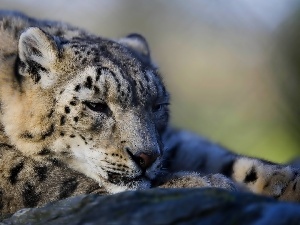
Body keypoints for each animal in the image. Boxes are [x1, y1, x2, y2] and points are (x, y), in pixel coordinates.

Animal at [0, 11, 298, 218]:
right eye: (96, 105)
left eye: (156, 105)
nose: (147, 156)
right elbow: (44, 176)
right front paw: (200, 183)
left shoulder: (170, 141)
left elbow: (216, 156)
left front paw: (289, 183)